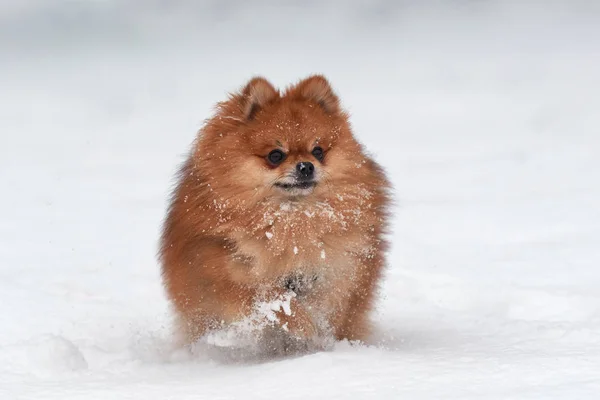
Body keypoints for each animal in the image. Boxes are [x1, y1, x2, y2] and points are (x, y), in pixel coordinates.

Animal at [159, 75, 392, 354]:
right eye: (275, 155)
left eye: (318, 151)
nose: (306, 166)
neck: (292, 220)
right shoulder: (225, 272)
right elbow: (276, 300)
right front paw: (303, 324)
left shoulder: (339, 270)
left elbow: (327, 305)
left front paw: (316, 334)